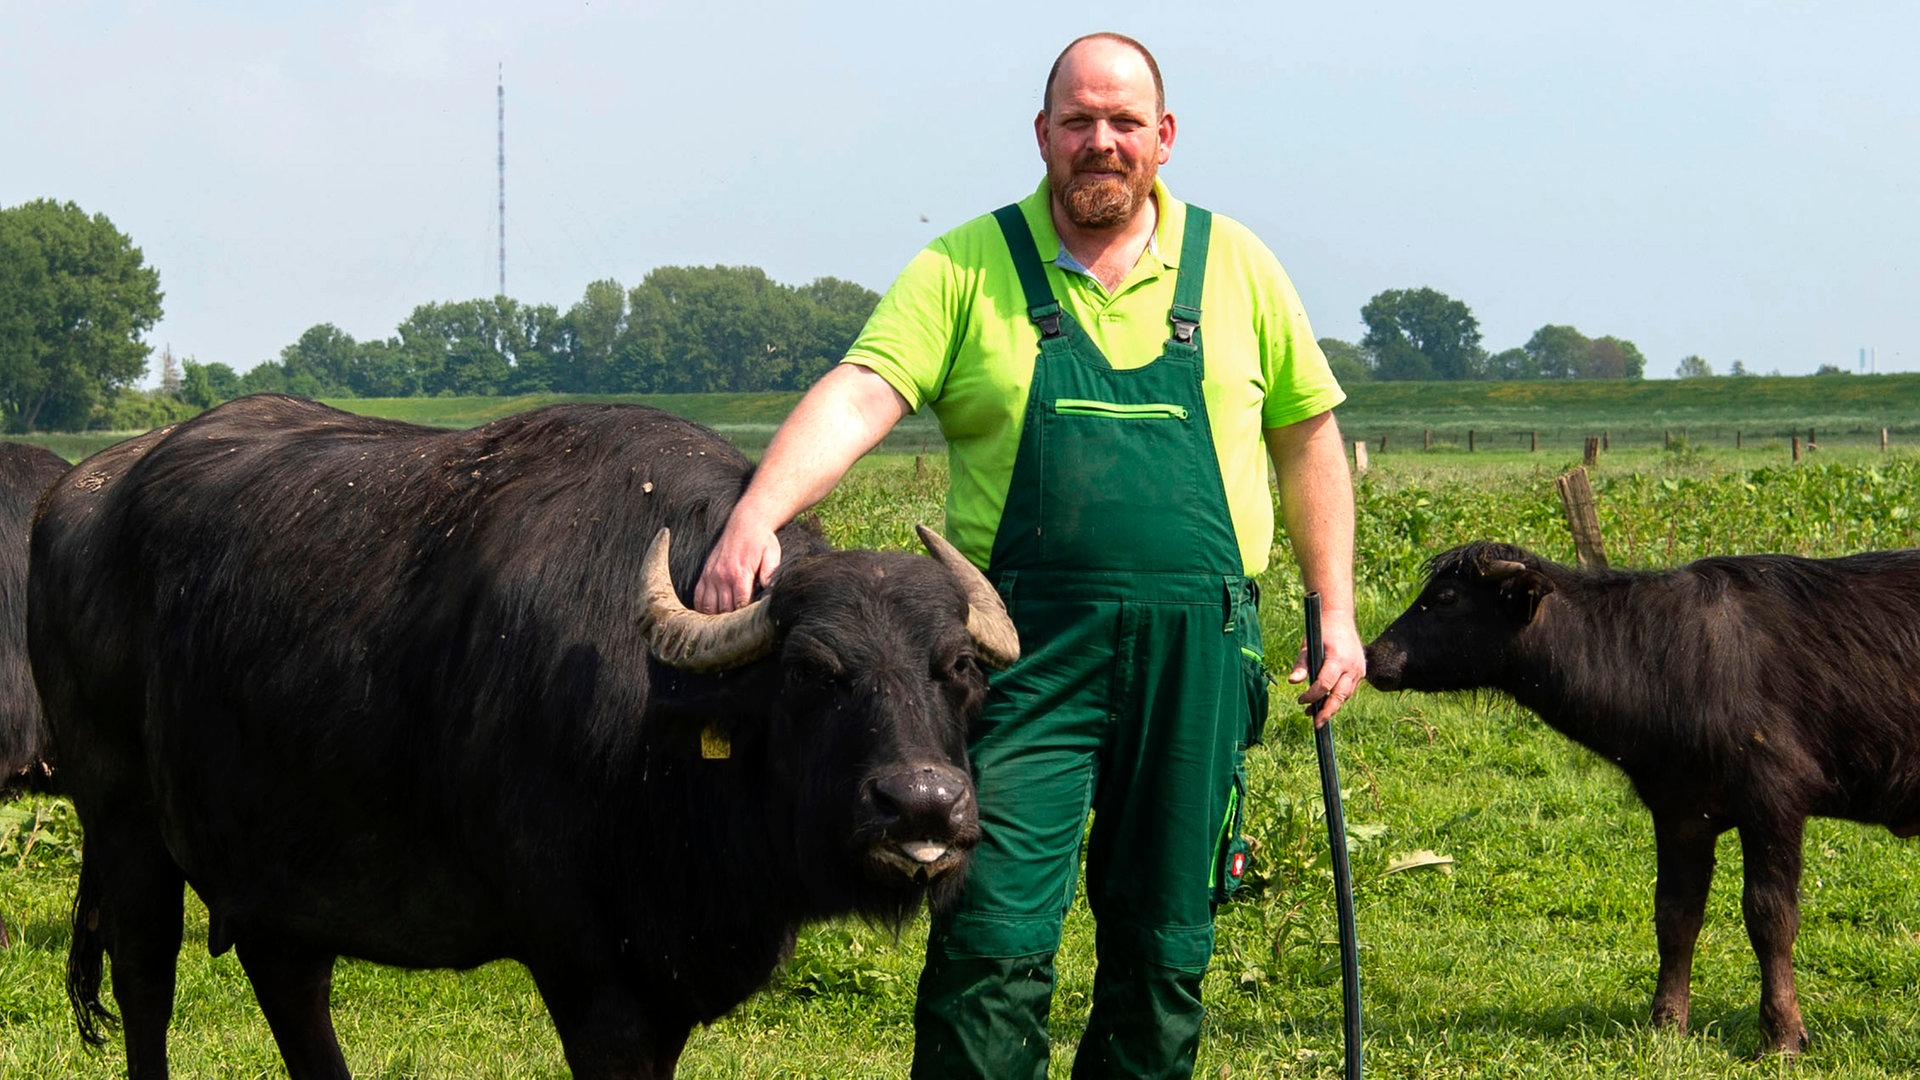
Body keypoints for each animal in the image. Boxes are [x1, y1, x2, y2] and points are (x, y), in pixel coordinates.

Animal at [33, 395, 1021, 1076]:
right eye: (815, 674)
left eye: (958, 670)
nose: (922, 805)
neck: (659, 728)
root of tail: (79, 491)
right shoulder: (586, 970)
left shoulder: (666, 971)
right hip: (121, 822)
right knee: (146, 983)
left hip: (278, 861)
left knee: (291, 987)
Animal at [1359, 541, 1920, 1045]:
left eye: (1447, 597)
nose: (1372, 655)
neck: (1664, 661)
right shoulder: (1679, 812)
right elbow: (1675, 915)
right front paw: (1666, 1025)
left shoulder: (1775, 801)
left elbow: (1770, 917)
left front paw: (1782, 1035)